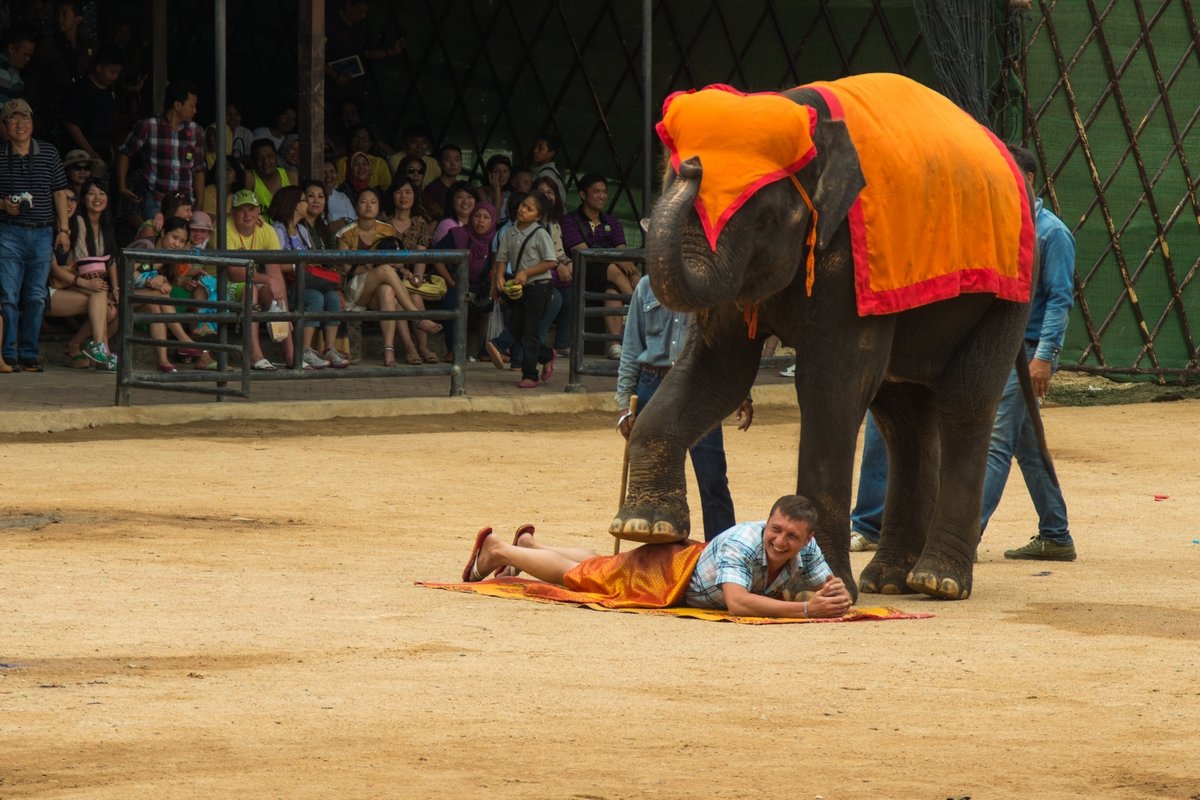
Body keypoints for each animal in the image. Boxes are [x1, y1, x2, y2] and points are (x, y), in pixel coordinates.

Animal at [614, 76, 1046, 599]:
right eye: (666, 185)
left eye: (764, 219)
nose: (693, 167)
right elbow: (719, 371)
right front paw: (644, 528)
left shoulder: (848, 263)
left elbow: (831, 387)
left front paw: (815, 588)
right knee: (903, 418)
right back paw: (889, 582)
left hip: (1008, 292)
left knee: (965, 402)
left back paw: (937, 582)